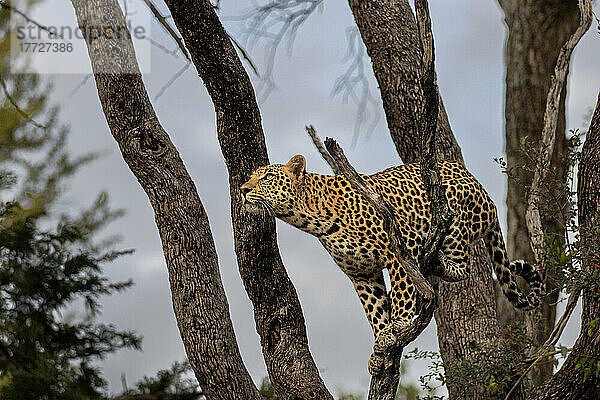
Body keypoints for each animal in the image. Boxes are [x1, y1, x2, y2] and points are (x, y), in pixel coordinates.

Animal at [239, 154, 544, 376]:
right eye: (251, 176)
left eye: (266, 177)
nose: (242, 189)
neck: (313, 218)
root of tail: (485, 192)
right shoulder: (361, 273)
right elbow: (374, 308)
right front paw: (379, 347)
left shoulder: (401, 246)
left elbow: (400, 291)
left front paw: (396, 324)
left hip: (455, 220)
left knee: (462, 266)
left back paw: (439, 264)